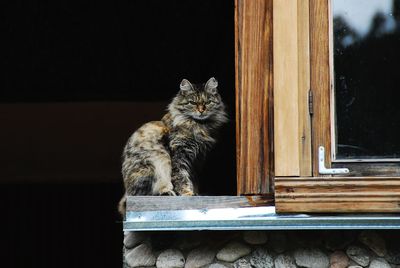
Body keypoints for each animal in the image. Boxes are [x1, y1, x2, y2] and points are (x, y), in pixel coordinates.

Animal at [117, 77, 227, 216]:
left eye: (207, 102)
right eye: (192, 102)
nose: (201, 110)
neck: (199, 126)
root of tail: (126, 191)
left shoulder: (197, 161)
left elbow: (193, 180)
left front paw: (196, 193)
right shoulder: (179, 155)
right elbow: (182, 177)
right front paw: (187, 193)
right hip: (155, 162)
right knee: (142, 195)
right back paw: (167, 192)